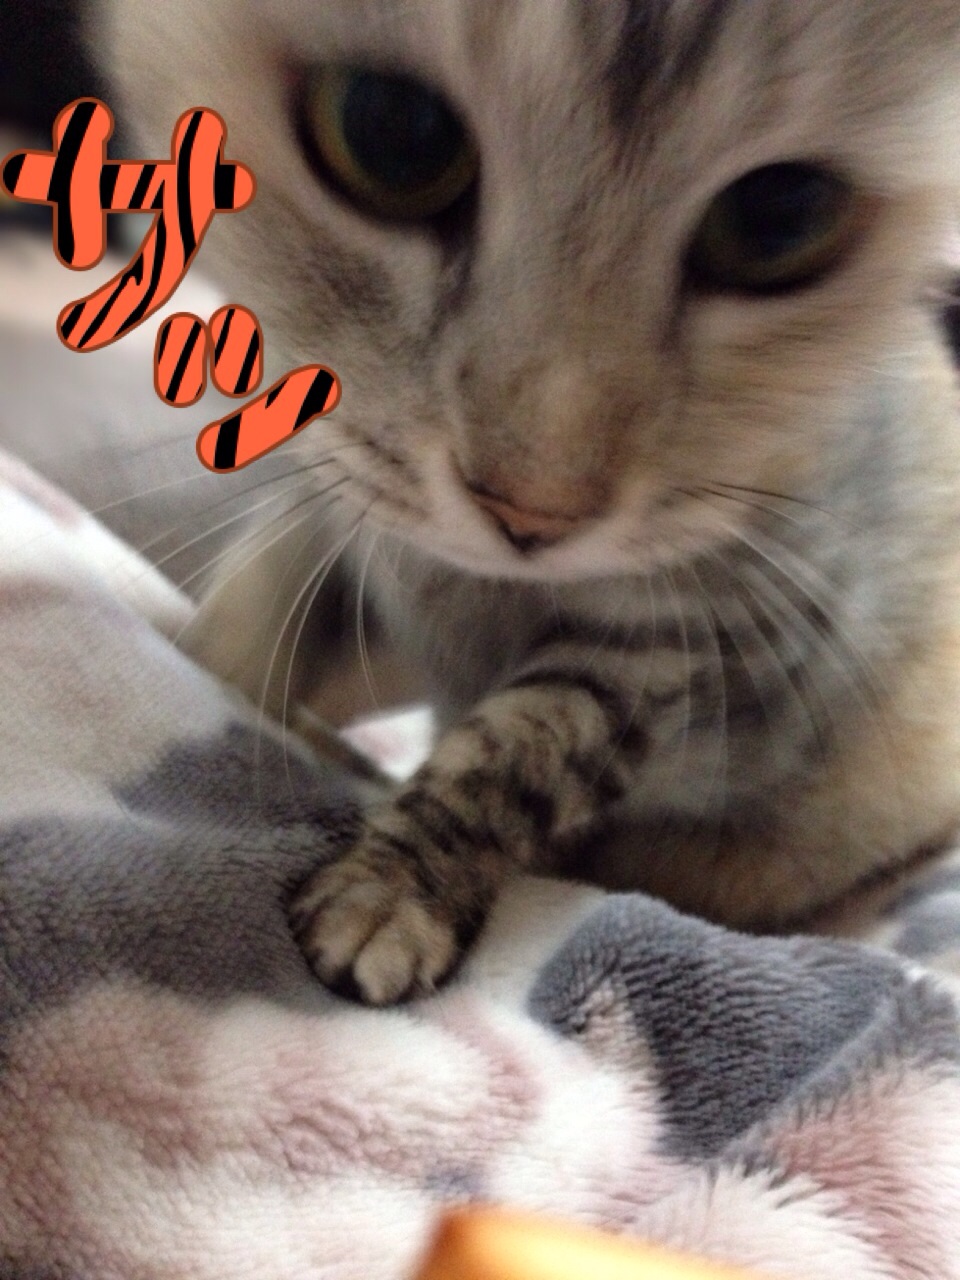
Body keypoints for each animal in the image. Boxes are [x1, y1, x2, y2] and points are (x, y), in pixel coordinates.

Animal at [90, 0, 960, 1004]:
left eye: (781, 221)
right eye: (392, 136)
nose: (530, 515)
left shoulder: (711, 628)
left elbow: (517, 750)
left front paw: (391, 893)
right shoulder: (334, 489)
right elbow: (254, 616)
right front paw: (212, 691)